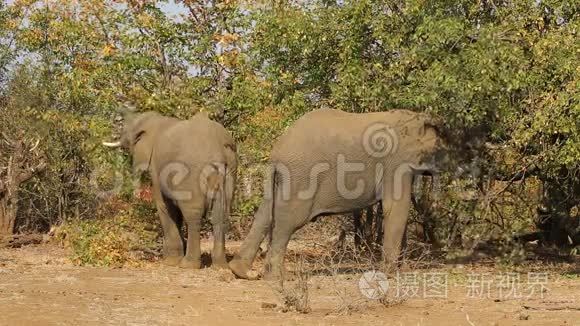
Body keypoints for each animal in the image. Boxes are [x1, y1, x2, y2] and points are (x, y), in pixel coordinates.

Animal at [103, 108, 237, 268]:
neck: (158, 120)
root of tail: (217, 150)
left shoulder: (156, 165)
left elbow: (163, 205)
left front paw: (170, 262)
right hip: (230, 170)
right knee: (220, 217)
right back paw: (220, 266)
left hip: (191, 175)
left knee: (193, 216)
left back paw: (188, 265)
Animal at [229, 107, 446, 280]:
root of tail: (277, 152)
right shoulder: (397, 161)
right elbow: (396, 207)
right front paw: (391, 274)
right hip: (302, 176)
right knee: (288, 220)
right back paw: (277, 278)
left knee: (264, 214)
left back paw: (242, 272)